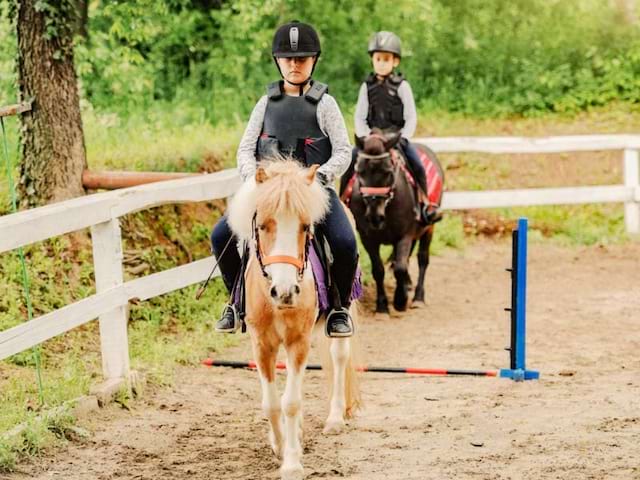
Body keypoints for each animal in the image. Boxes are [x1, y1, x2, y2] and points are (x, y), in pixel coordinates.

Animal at [228, 160, 360, 480]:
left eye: (304, 227)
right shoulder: (262, 344)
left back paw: (335, 418)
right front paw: (279, 444)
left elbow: (291, 402)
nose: (285, 291)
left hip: (342, 315)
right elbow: (272, 403)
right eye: (263, 226)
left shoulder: (298, 342)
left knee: (339, 357)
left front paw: (291, 463)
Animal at [344, 129, 444, 314]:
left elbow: (400, 268)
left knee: (422, 259)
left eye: (388, 172)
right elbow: (379, 270)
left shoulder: (404, 236)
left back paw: (418, 298)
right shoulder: (368, 238)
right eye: (359, 171)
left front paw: (400, 300)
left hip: (429, 228)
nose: (375, 217)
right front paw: (382, 305)